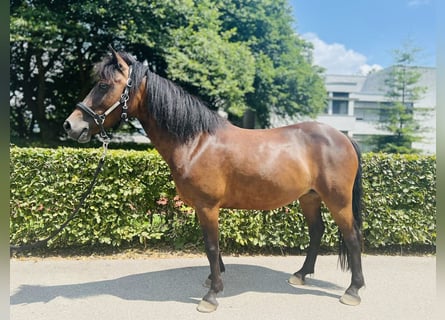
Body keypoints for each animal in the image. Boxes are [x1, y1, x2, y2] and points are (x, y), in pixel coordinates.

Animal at [65, 50, 364, 312]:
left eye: (103, 85)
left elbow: (211, 246)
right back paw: (301, 274)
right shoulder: (203, 207)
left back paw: (353, 290)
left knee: (352, 236)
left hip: (337, 200)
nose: (71, 125)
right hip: (309, 197)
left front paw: (211, 295)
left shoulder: (207, 206)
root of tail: (342, 137)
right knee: (317, 231)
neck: (196, 142)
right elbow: (210, 246)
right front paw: (213, 278)